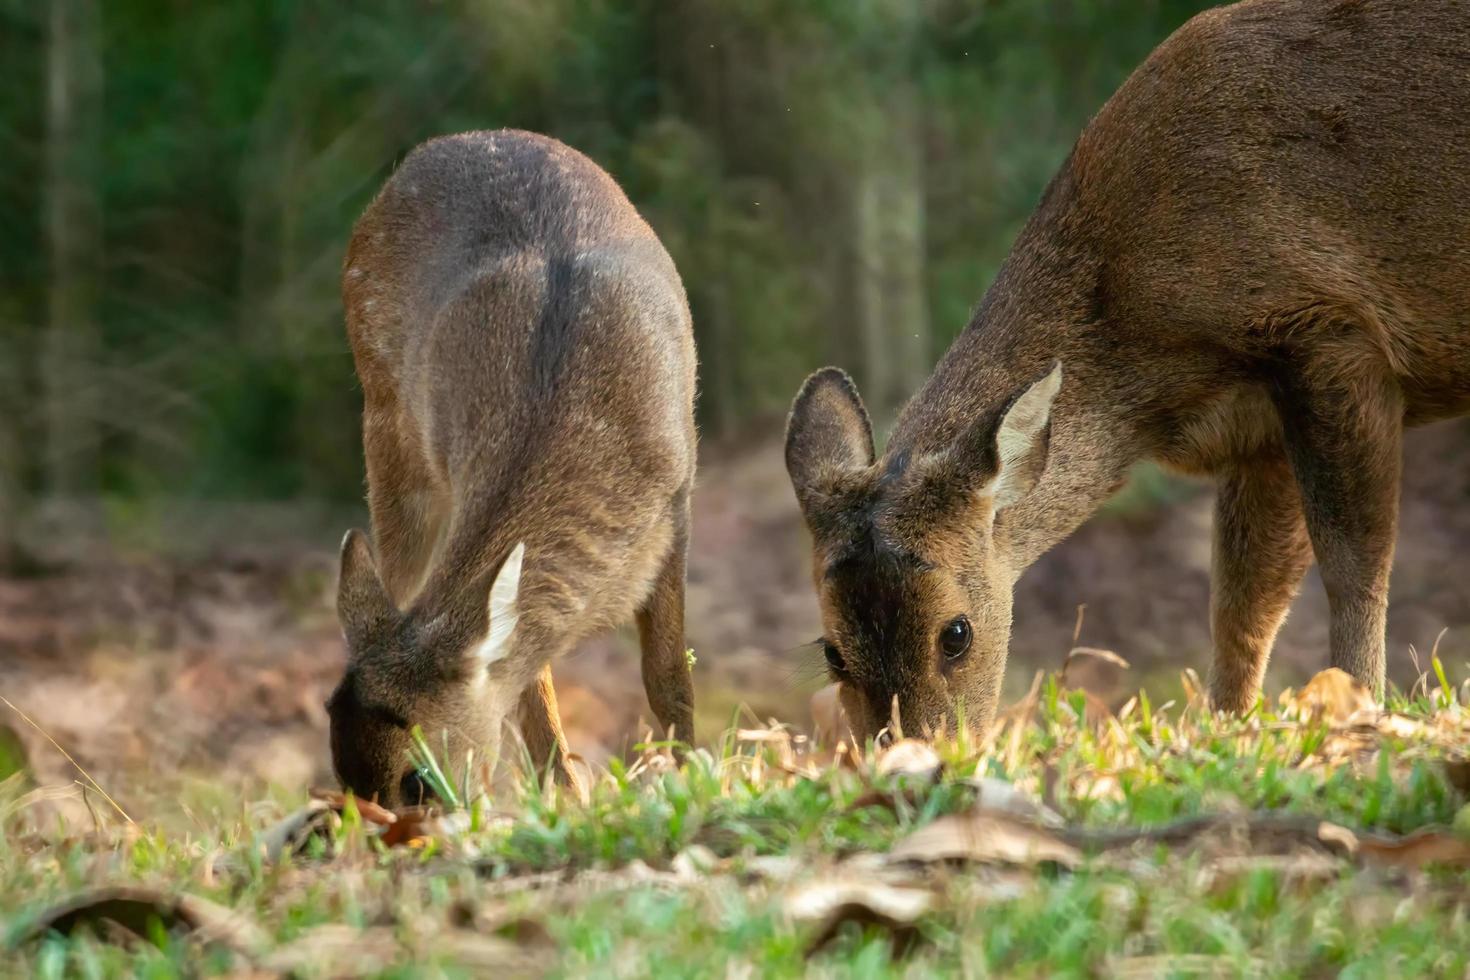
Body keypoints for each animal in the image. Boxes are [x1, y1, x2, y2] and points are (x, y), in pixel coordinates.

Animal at [330, 130, 696, 805]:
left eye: (418, 780)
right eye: (341, 778)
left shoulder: (678, 500)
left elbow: (668, 679)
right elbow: (533, 695)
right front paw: (569, 800)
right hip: (388, 422)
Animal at [787, 0, 1470, 746]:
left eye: (957, 633)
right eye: (831, 651)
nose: (911, 753)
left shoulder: (1330, 325)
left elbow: (1354, 564)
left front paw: (1363, 708)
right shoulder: (1256, 430)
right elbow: (1241, 605)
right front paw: (1229, 727)